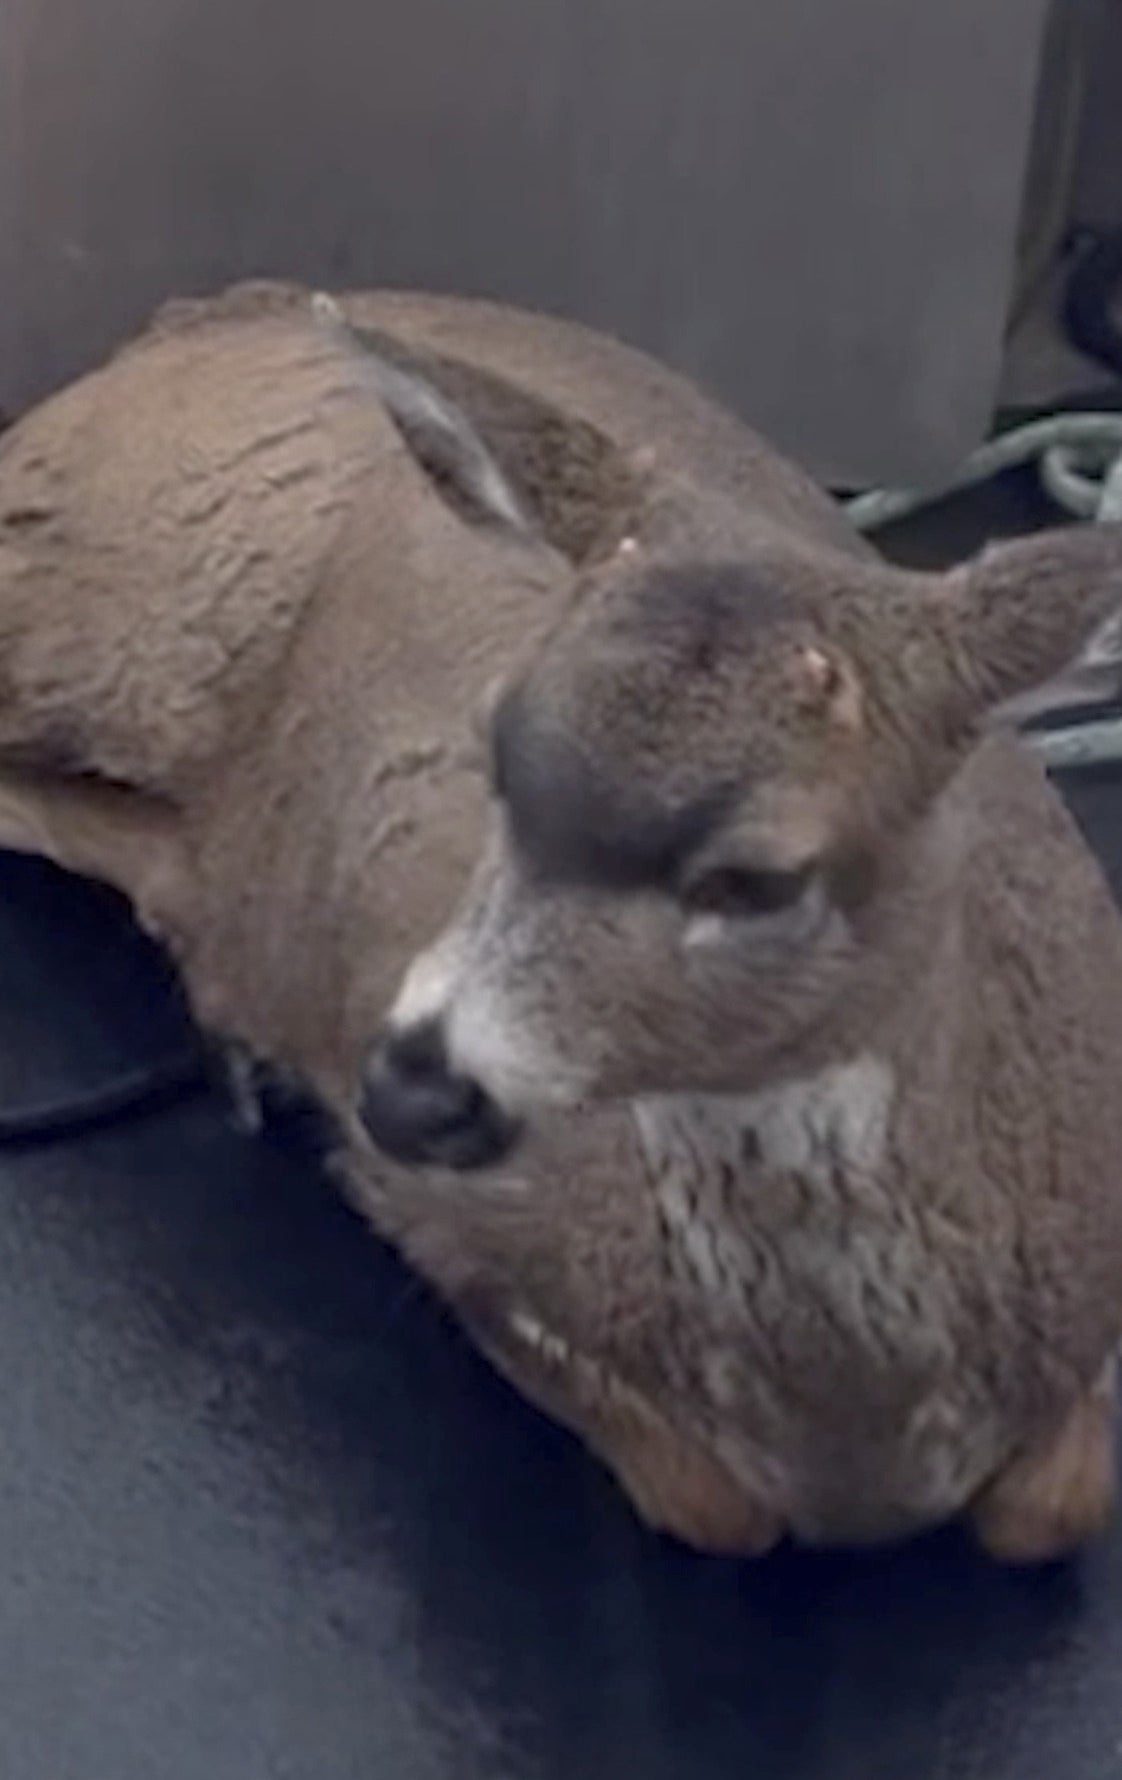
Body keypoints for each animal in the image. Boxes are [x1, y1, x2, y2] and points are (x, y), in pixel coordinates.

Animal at [0, 277, 1121, 1563]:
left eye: (757, 876)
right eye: (497, 753)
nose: (408, 1091)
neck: (857, 1440)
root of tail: (203, 315)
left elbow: (1049, 1510)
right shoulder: (461, 1237)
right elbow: (712, 1509)